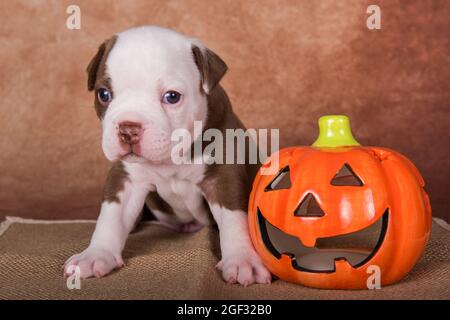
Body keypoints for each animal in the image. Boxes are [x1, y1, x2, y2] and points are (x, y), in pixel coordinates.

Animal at [63, 25, 270, 284]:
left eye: (172, 97)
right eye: (103, 94)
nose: (128, 129)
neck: (171, 159)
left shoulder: (223, 177)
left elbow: (235, 221)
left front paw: (243, 260)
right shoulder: (126, 178)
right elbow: (111, 217)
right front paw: (95, 254)